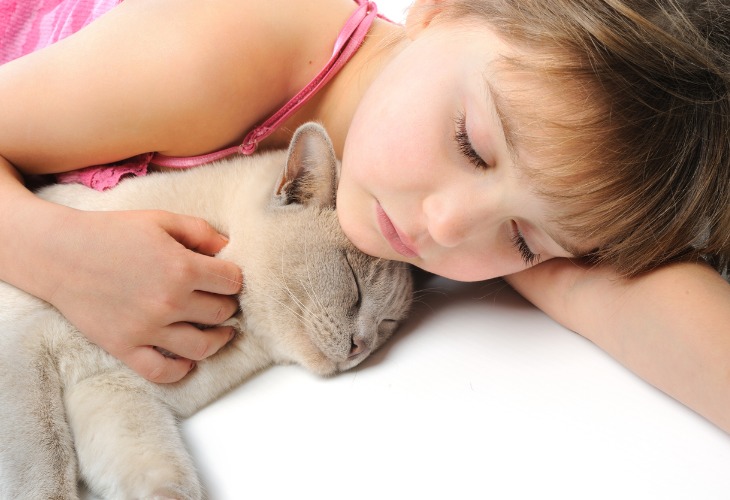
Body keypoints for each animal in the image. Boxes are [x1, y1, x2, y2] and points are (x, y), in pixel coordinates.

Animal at [0, 122, 412, 500]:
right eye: (354, 282)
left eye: (387, 323)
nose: (362, 346)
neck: (242, 326)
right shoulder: (24, 353)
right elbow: (44, 469)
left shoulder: (110, 388)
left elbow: (164, 478)